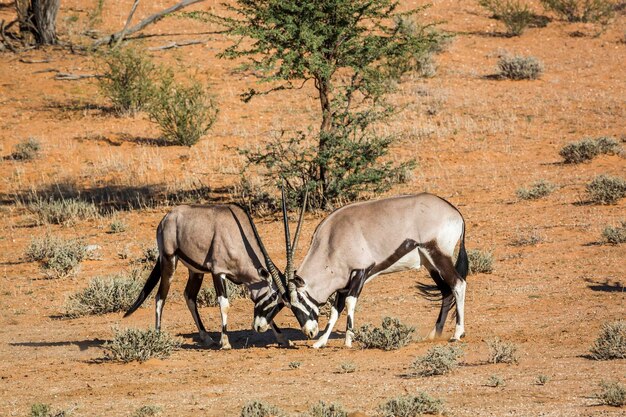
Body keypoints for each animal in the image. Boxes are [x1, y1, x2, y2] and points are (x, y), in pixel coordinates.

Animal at [125, 202, 294, 348]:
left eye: (281, 304)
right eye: (272, 297)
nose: (259, 327)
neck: (236, 234)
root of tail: (166, 217)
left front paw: (283, 339)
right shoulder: (218, 272)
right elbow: (224, 304)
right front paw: (225, 342)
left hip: (196, 271)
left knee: (189, 296)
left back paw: (206, 337)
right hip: (169, 261)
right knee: (161, 296)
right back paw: (158, 335)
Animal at [280, 193, 466, 348]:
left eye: (300, 299)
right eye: (288, 305)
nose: (309, 332)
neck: (331, 240)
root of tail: (454, 212)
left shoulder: (360, 272)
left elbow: (350, 302)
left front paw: (348, 340)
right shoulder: (343, 284)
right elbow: (335, 310)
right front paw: (320, 342)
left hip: (439, 255)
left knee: (458, 284)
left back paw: (457, 334)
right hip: (430, 263)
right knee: (446, 291)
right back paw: (435, 334)